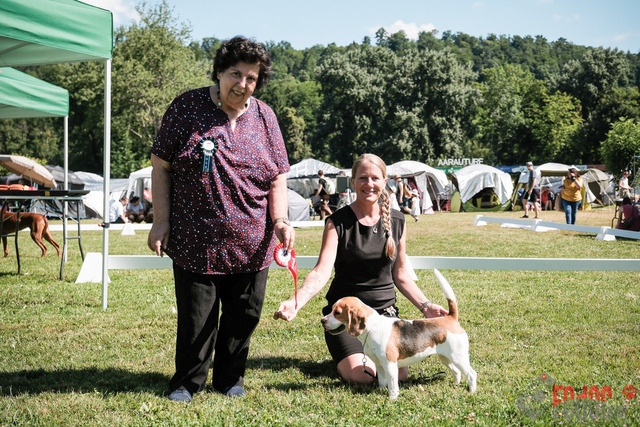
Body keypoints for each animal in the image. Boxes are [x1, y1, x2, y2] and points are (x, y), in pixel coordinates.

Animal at [321, 269, 477, 400]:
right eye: (332, 310)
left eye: (337, 313)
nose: (322, 320)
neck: (372, 328)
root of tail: (450, 318)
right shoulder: (379, 366)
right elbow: (382, 382)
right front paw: (380, 391)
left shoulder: (390, 365)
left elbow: (392, 385)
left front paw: (392, 399)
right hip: (446, 357)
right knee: (457, 372)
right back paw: (456, 386)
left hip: (458, 356)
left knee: (471, 374)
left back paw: (471, 392)